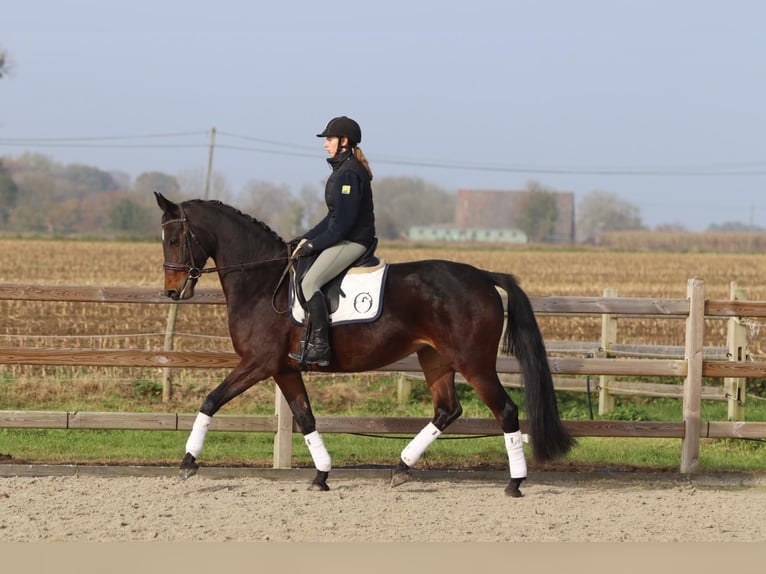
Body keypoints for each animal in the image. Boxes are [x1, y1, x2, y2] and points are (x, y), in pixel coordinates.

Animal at [154, 191, 576, 498]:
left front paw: (188, 462)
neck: (262, 281)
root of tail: (484, 276)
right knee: (447, 410)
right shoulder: (284, 369)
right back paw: (401, 468)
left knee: (505, 410)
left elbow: (211, 400)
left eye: (174, 239)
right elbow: (305, 418)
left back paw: (515, 483)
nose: (172, 292)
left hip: (474, 363)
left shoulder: (259, 363)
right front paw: (322, 475)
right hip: (435, 359)